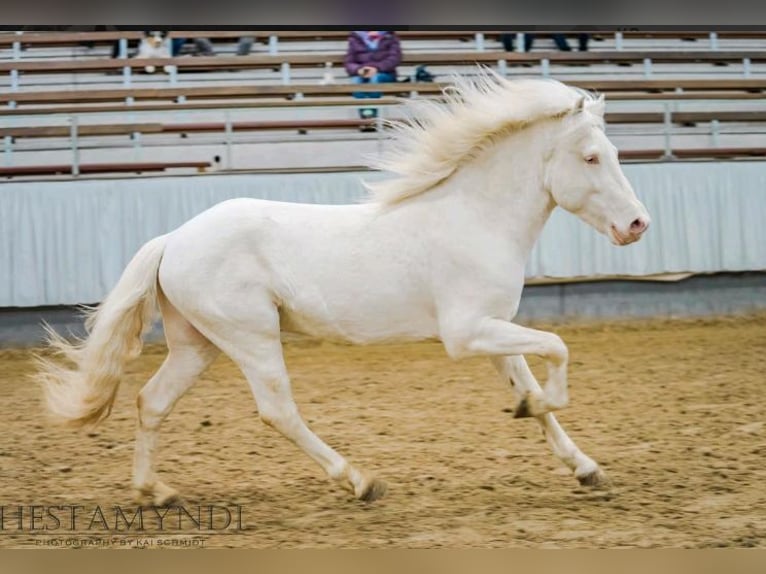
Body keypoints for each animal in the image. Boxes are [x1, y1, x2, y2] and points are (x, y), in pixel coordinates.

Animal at [36, 70, 648, 506]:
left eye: (617, 154)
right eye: (591, 157)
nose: (638, 225)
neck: (473, 218)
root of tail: (173, 239)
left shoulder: (494, 330)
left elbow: (537, 384)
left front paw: (583, 465)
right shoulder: (466, 333)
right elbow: (558, 350)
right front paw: (533, 409)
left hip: (199, 344)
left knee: (151, 401)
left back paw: (156, 492)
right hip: (252, 337)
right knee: (277, 411)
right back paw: (359, 481)